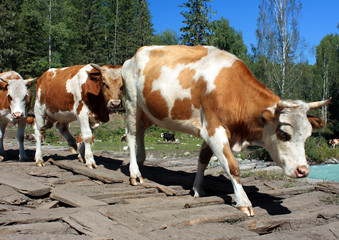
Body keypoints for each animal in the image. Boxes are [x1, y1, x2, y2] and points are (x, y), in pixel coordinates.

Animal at [122, 45, 332, 216]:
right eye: (284, 134)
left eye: (308, 136)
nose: (303, 171)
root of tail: (133, 56)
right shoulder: (214, 130)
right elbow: (232, 166)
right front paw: (244, 202)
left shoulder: (209, 131)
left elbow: (203, 160)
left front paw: (197, 189)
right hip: (132, 103)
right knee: (131, 136)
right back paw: (135, 173)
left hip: (148, 112)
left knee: (140, 132)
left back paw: (141, 160)